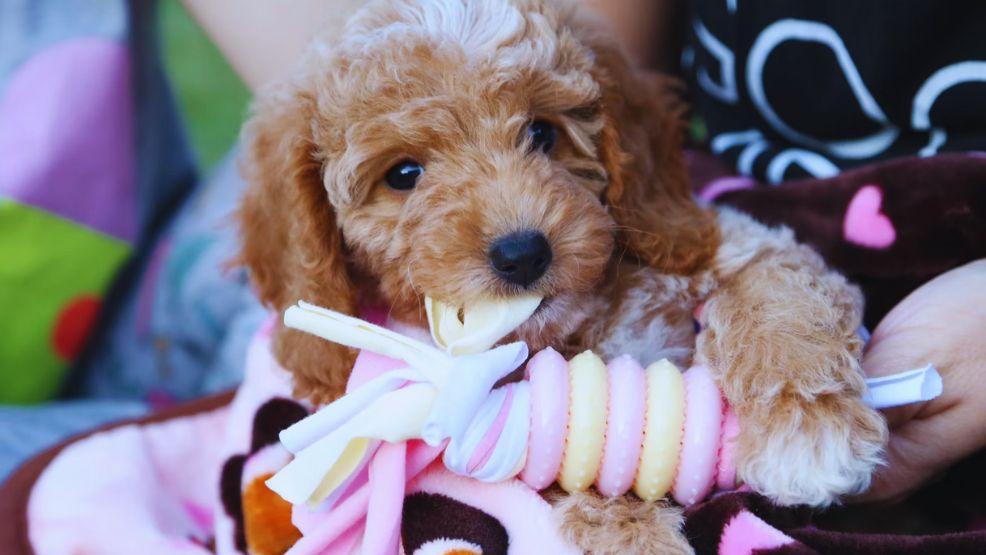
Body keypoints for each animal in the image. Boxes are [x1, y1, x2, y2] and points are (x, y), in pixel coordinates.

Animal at [236, 0, 884, 552]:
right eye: (403, 174)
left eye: (541, 132)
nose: (523, 253)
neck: (574, 327)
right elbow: (571, 465)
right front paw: (636, 536)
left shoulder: (729, 243)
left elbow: (782, 305)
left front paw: (809, 431)